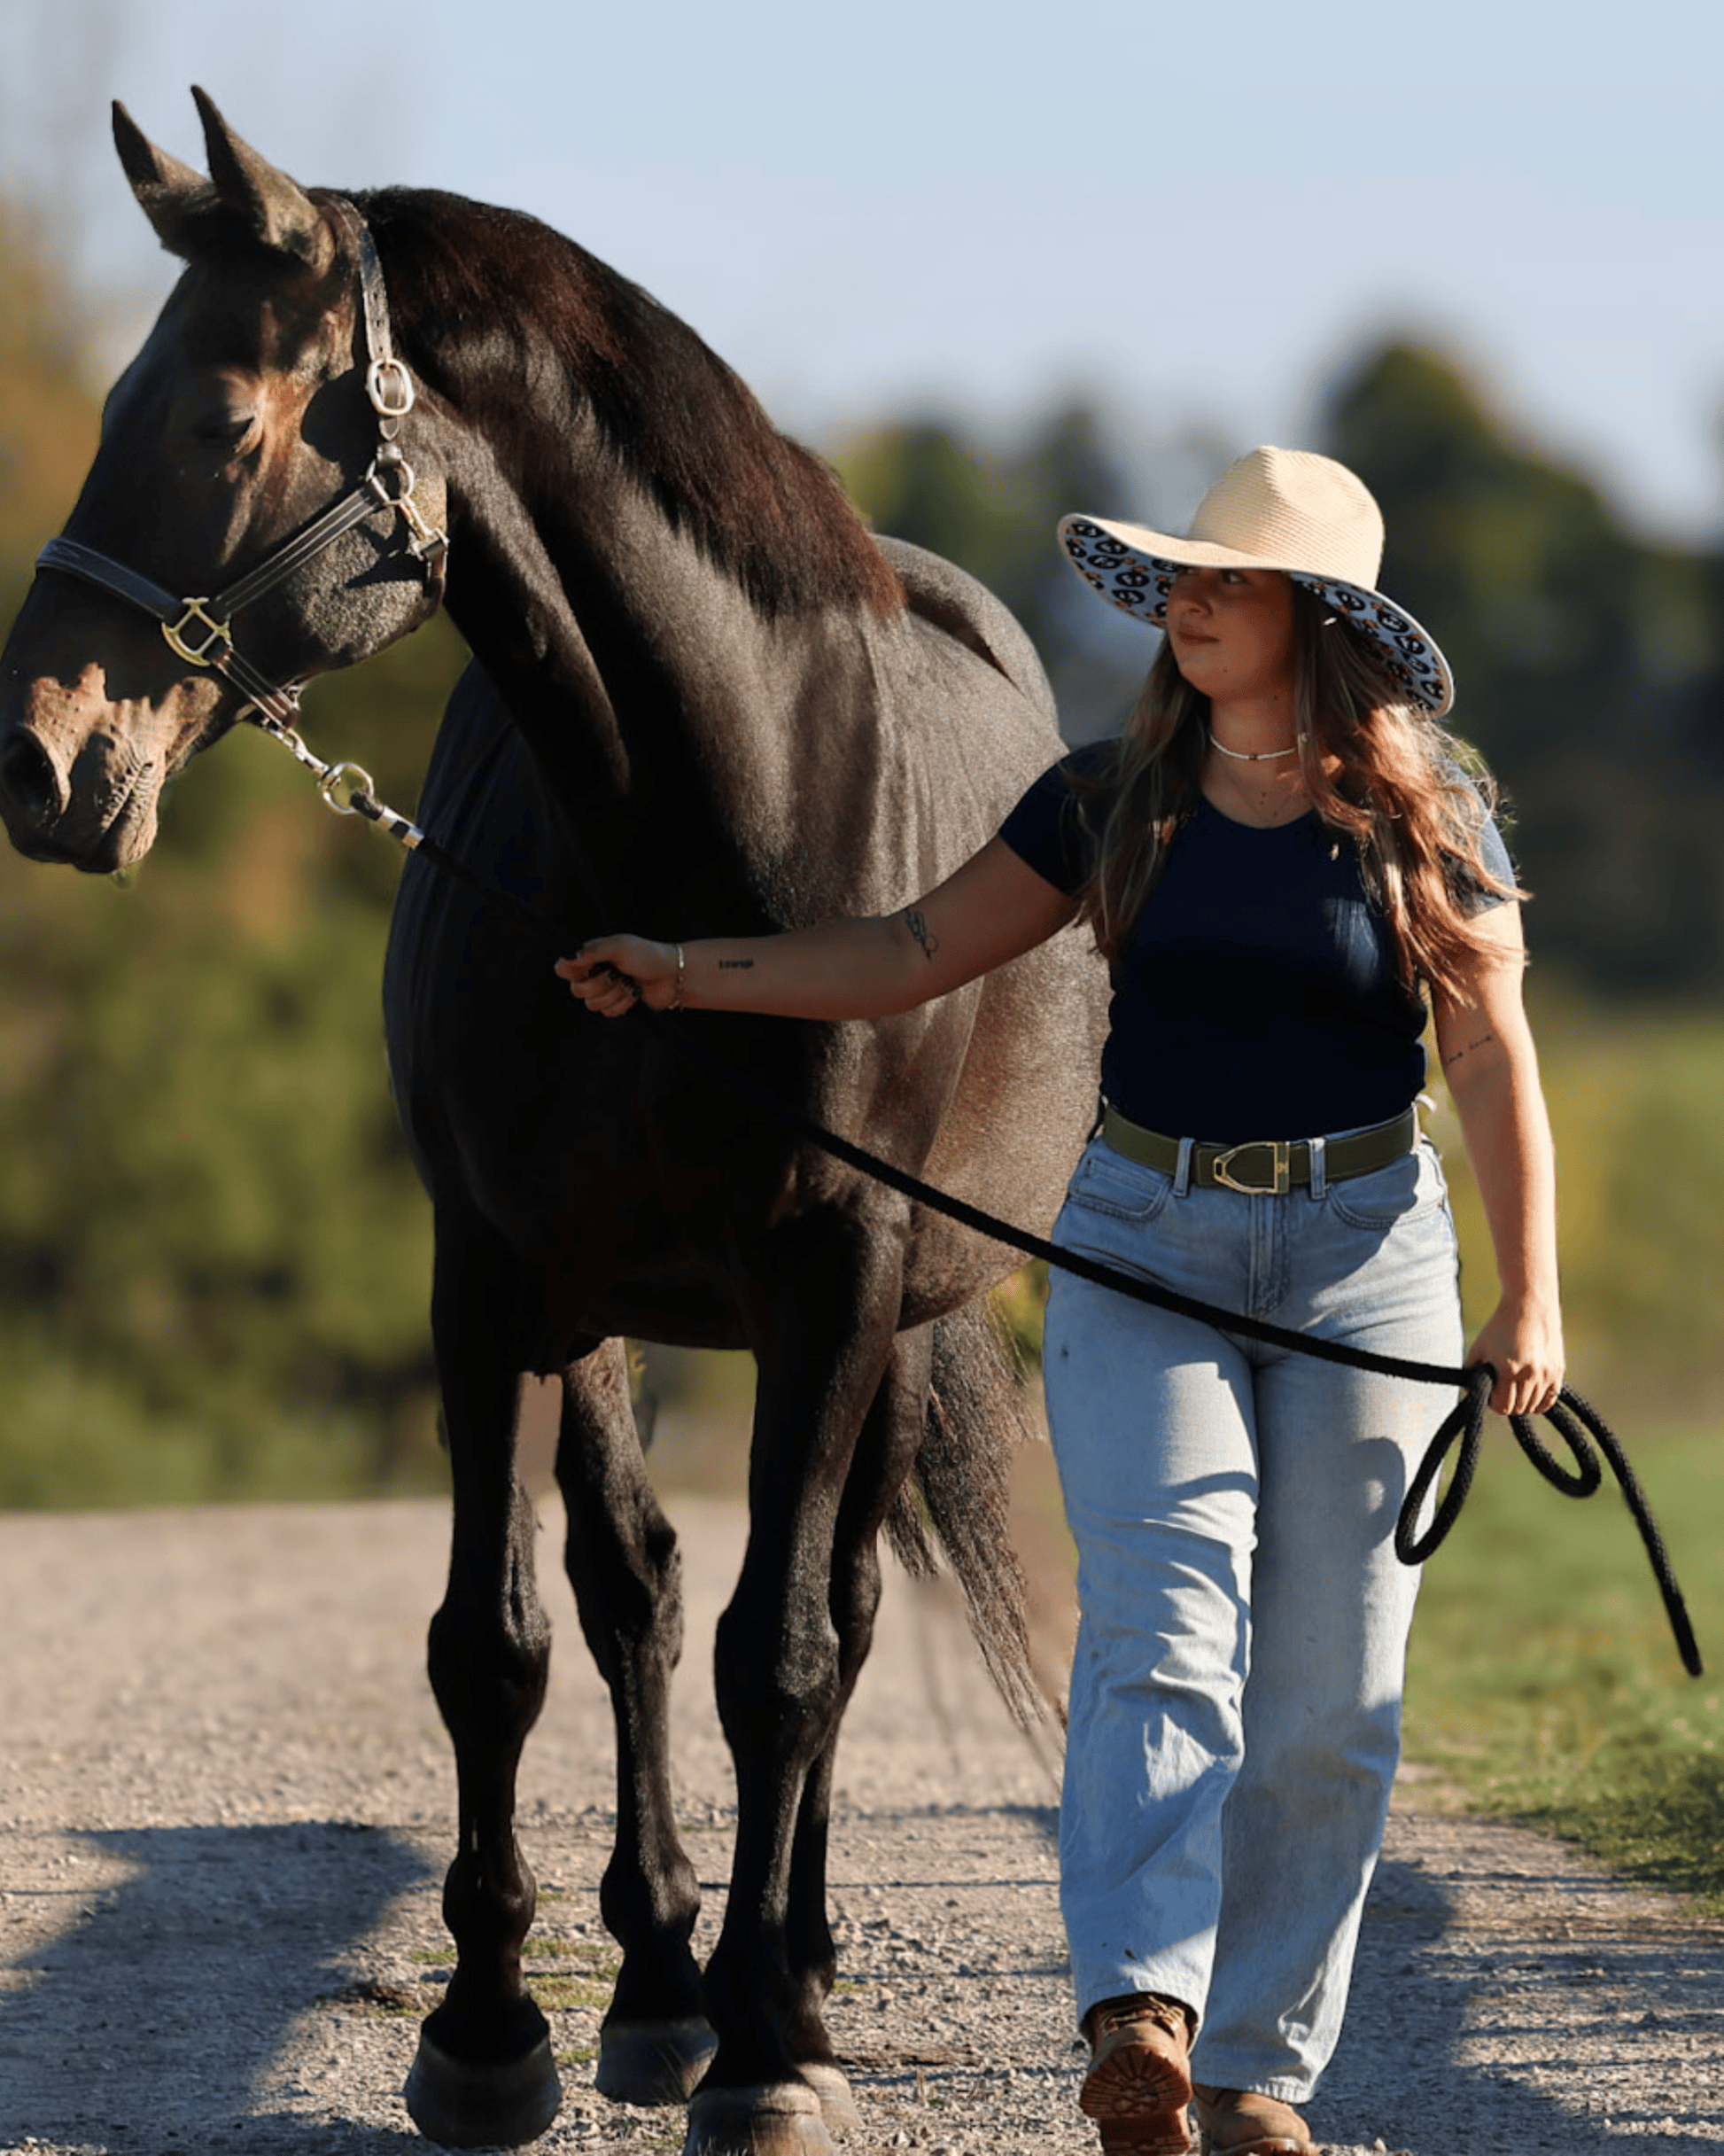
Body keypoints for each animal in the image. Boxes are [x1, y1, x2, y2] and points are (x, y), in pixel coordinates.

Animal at [0, 91, 1105, 2154]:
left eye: (219, 423)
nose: (43, 761)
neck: (707, 832)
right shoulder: (495, 1271)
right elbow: (502, 1640)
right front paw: (492, 2024)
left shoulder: (832, 1275)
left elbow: (784, 1653)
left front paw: (769, 2047)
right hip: (615, 1308)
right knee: (635, 1591)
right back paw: (660, 1978)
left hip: (896, 1319)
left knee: (828, 1611)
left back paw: (789, 1968)